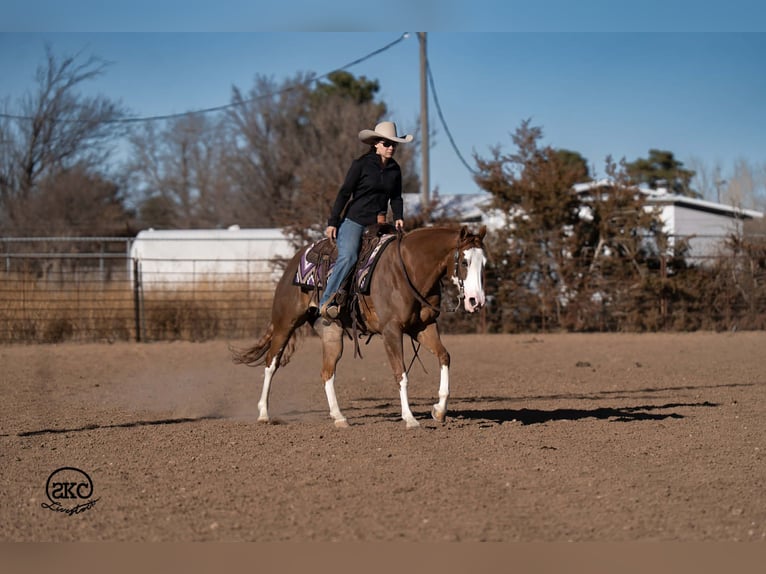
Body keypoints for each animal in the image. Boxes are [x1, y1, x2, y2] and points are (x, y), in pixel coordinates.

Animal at [231, 224, 488, 429]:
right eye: (464, 261)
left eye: (484, 263)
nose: (476, 301)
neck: (409, 270)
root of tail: (296, 259)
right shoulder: (391, 331)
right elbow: (401, 373)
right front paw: (410, 418)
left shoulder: (423, 327)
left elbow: (444, 357)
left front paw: (439, 410)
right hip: (286, 322)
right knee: (271, 363)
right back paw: (264, 414)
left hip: (331, 333)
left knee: (327, 372)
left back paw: (339, 417)